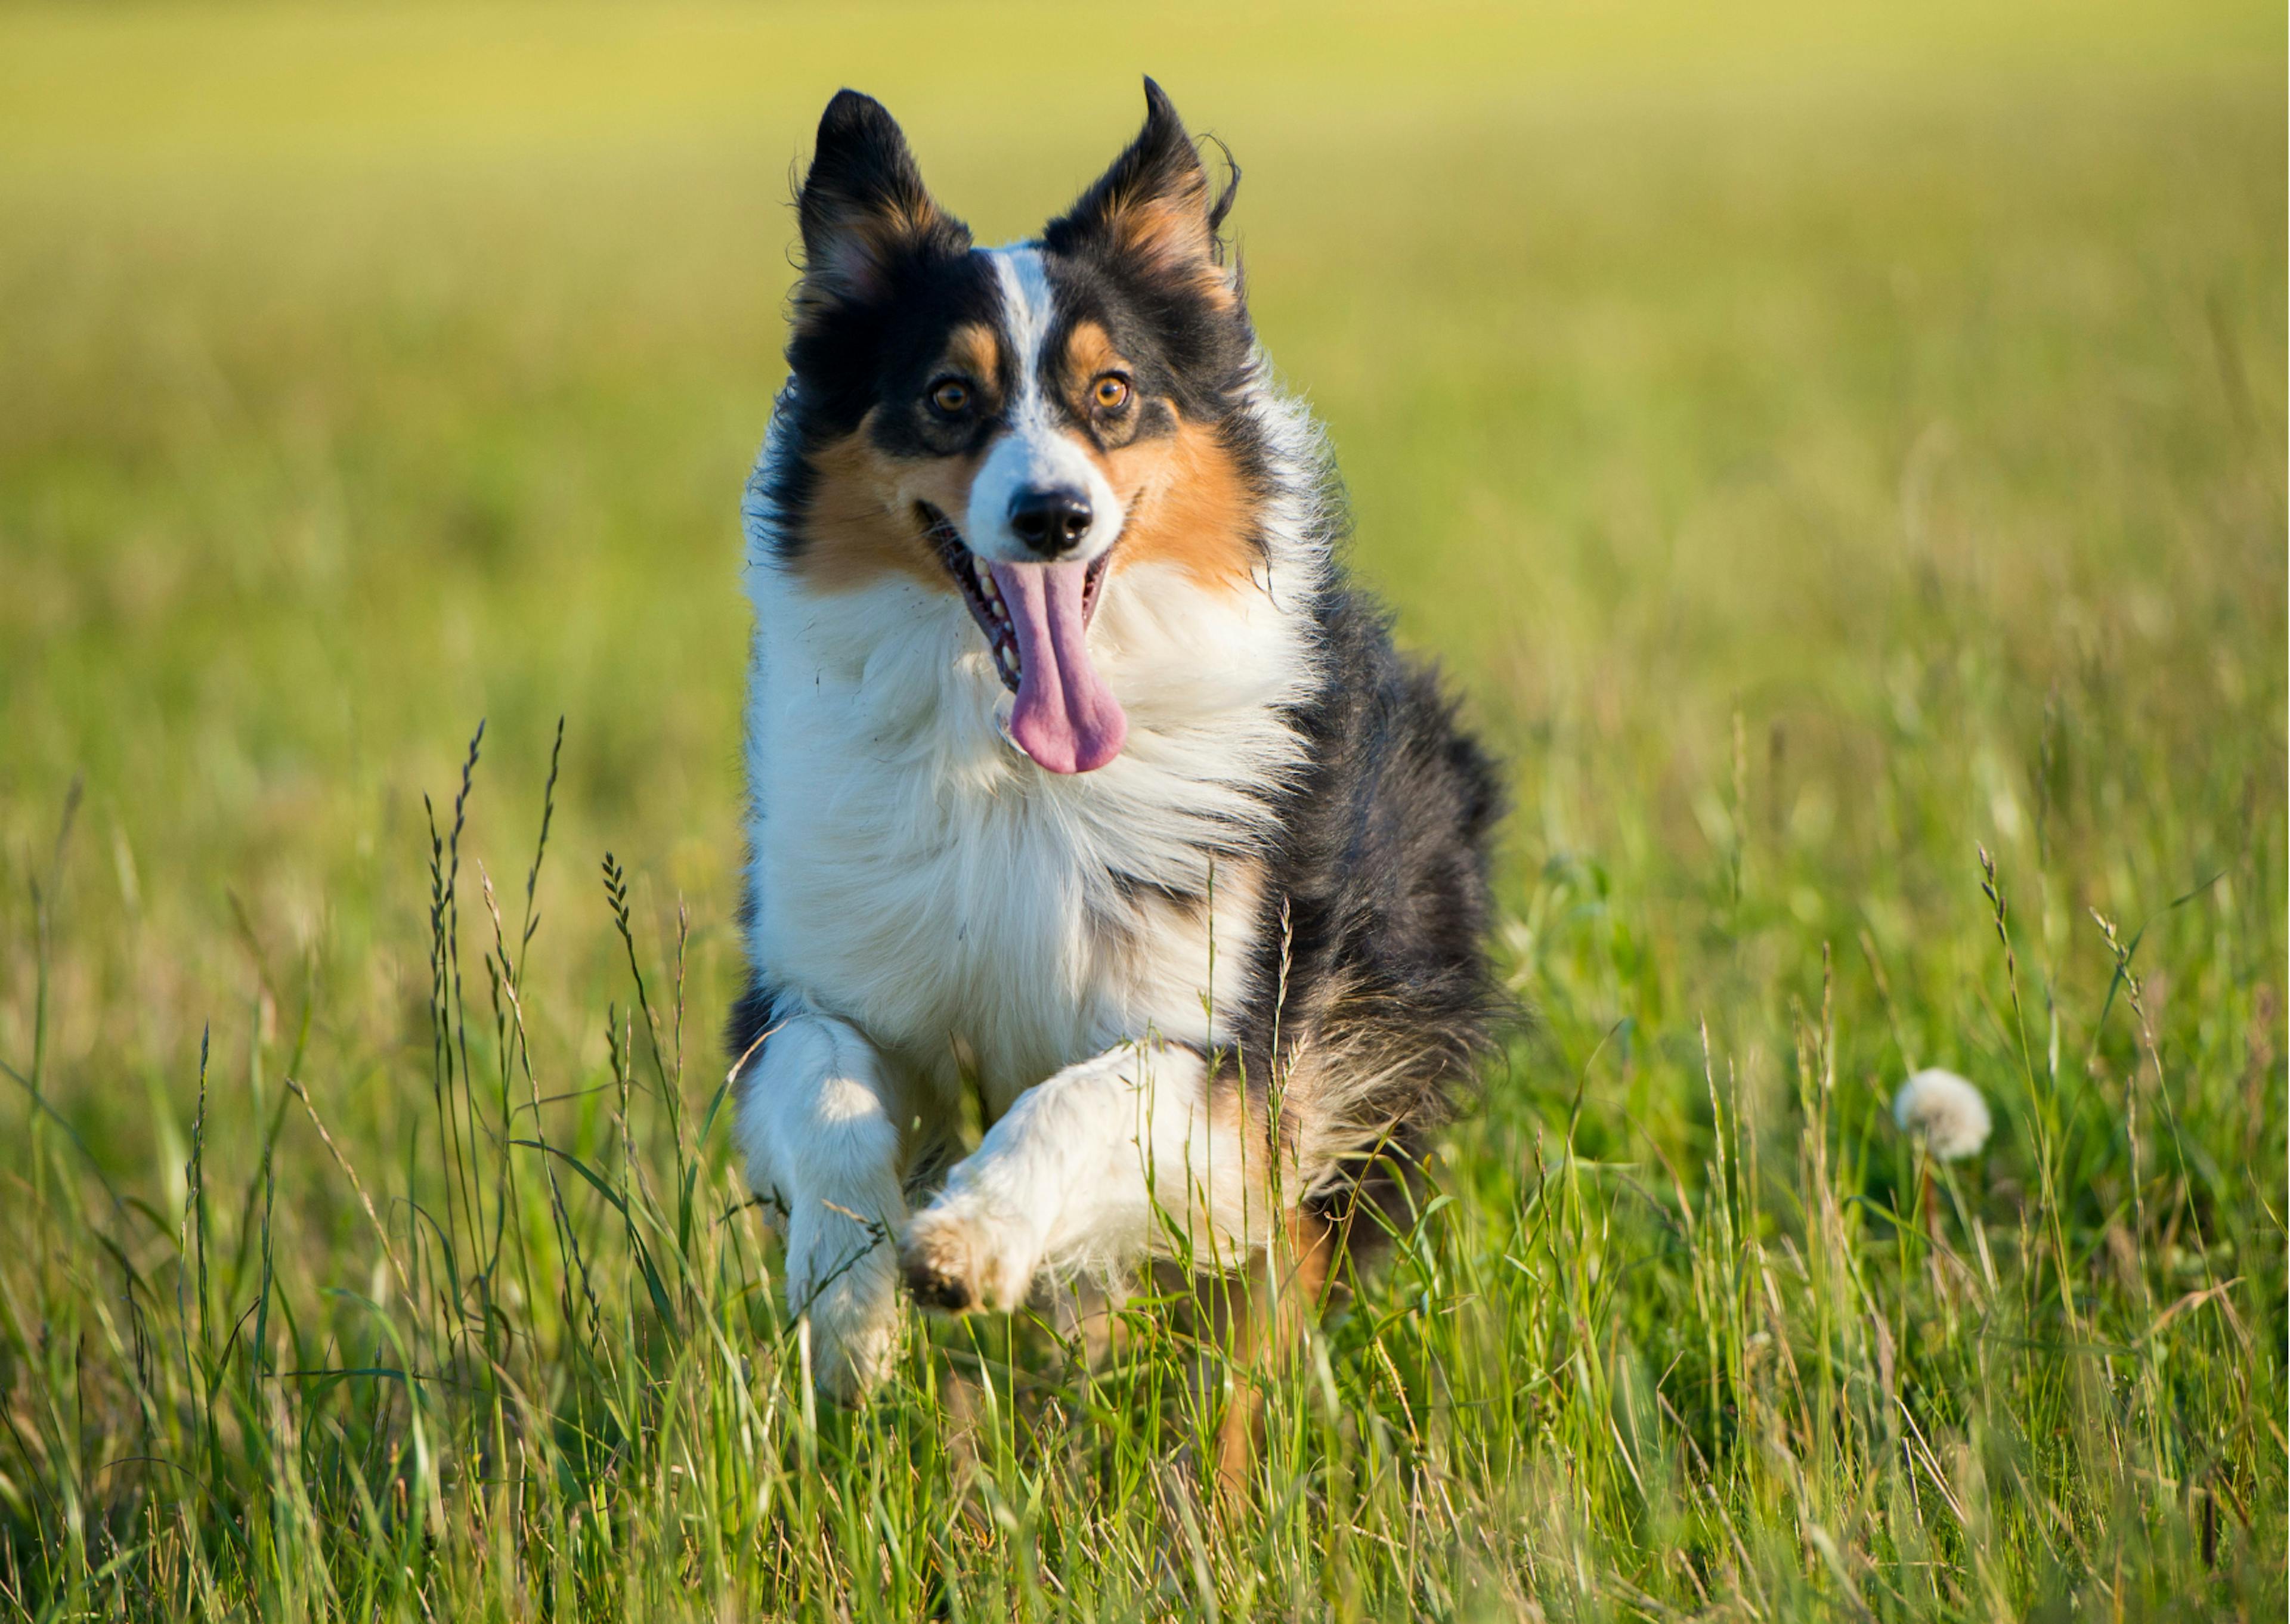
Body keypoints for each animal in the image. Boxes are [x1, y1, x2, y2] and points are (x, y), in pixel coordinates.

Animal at [723, 76, 1493, 1448]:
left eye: (1115, 393)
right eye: (949, 397)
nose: (1053, 517)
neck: (1014, 770)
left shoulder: (1227, 1066)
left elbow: (1086, 1093)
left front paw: (969, 1239)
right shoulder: (820, 986)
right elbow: (829, 1089)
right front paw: (849, 1302)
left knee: (1251, 1335)